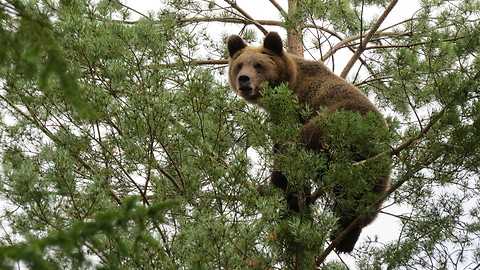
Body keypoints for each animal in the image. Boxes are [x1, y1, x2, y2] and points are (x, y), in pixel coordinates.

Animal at [228, 32, 390, 253]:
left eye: (258, 65)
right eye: (239, 65)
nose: (244, 79)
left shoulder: (298, 108)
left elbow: (286, 148)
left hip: (336, 122)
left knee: (296, 151)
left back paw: (279, 193)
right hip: (374, 165)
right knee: (363, 199)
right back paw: (345, 236)